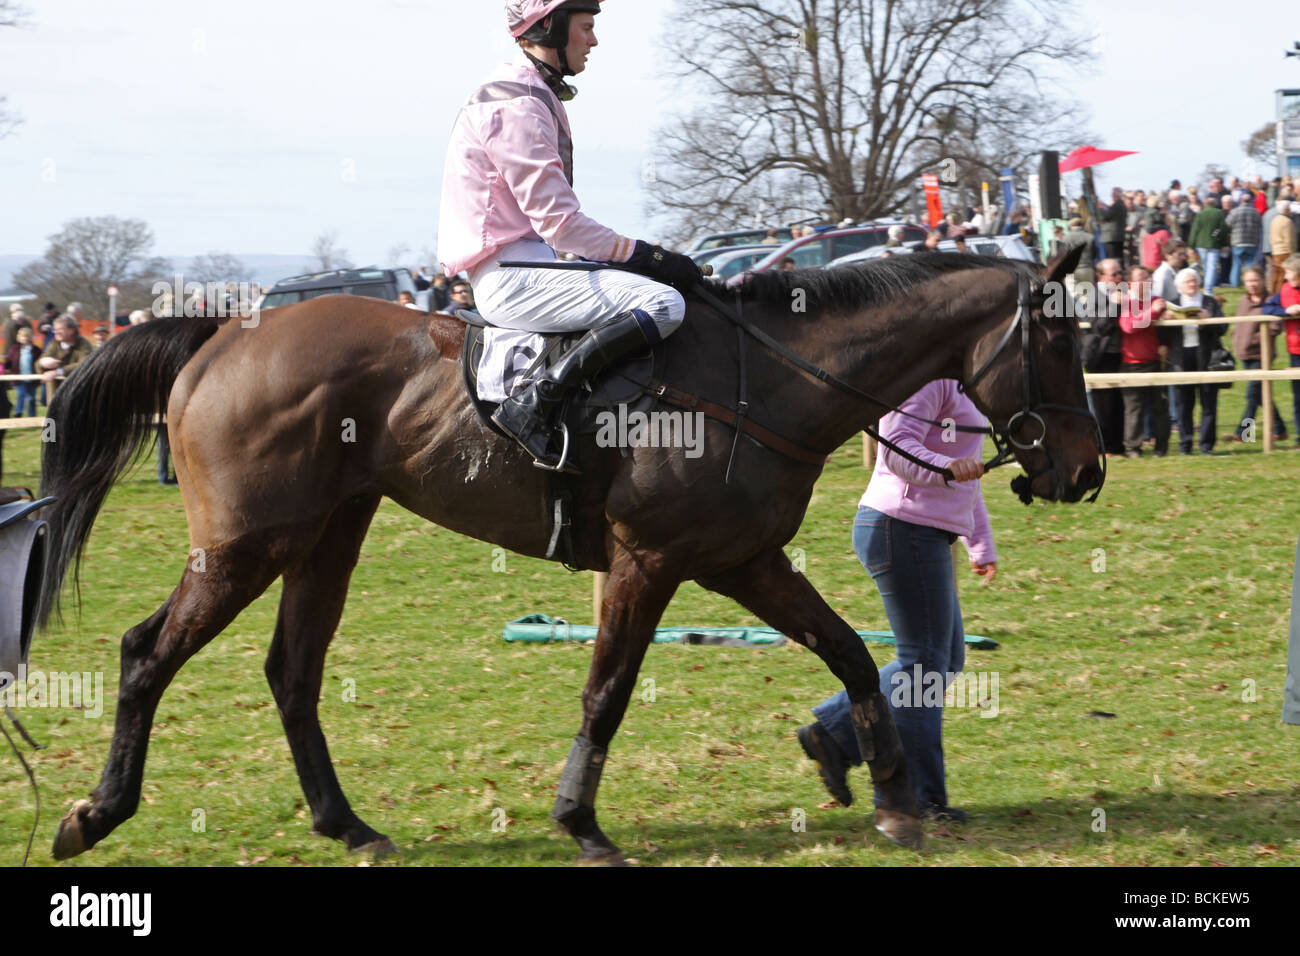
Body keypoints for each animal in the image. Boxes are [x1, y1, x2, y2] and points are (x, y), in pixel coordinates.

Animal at [38, 247, 1097, 868]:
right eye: (1058, 337)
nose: (1085, 469)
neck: (763, 381)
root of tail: (222, 334)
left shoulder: (746, 561)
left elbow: (852, 655)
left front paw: (892, 795)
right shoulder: (652, 561)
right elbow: (608, 692)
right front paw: (580, 822)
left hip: (326, 537)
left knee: (292, 673)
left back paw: (349, 825)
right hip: (245, 547)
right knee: (147, 655)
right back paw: (95, 814)